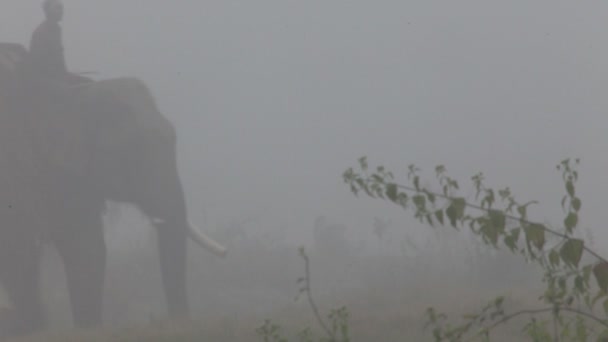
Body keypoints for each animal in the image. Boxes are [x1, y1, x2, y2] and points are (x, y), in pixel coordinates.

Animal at [0, 42, 226, 336]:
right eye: (129, 151)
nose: (178, 325)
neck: (75, 92)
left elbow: (87, 248)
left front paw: (86, 331)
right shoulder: (16, 167)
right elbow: (20, 249)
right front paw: (33, 331)